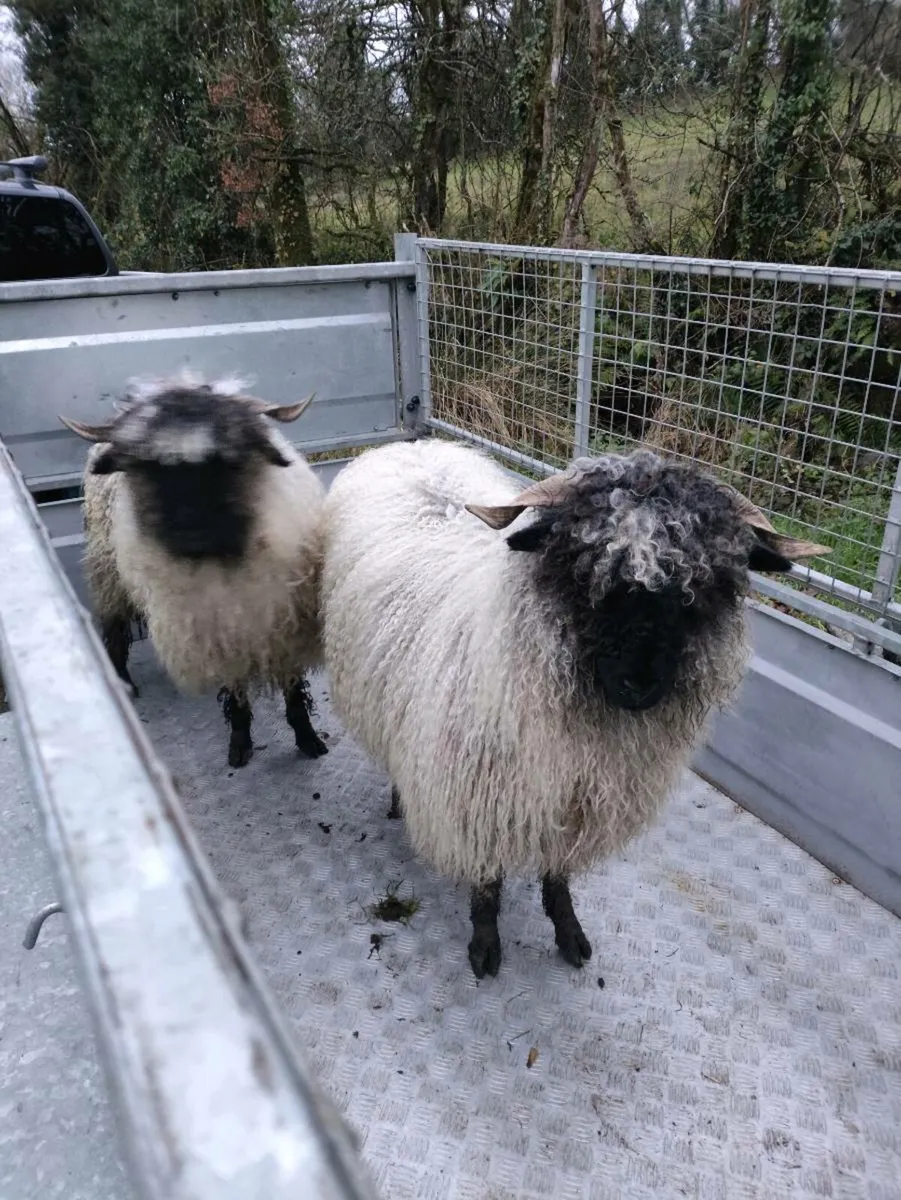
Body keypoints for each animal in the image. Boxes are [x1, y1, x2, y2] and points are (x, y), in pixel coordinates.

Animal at [60, 374, 329, 768]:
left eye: (227, 463)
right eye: (151, 467)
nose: (191, 532)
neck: (222, 561)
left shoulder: (284, 627)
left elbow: (293, 690)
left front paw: (308, 738)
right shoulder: (217, 634)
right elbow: (236, 693)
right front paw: (239, 743)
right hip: (106, 569)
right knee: (115, 625)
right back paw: (123, 681)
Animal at [321, 439, 828, 978]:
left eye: (702, 589)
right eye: (585, 572)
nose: (640, 685)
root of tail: (413, 443)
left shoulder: (575, 801)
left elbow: (558, 878)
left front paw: (568, 932)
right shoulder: (477, 802)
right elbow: (487, 883)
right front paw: (485, 945)